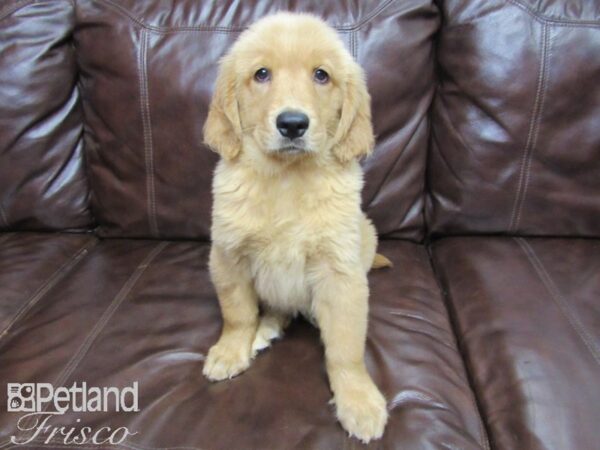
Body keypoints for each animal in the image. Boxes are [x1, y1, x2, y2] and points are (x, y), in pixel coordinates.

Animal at [202, 11, 390, 442]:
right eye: (261, 74)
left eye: (321, 75)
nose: (292, 124)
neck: (286, 178)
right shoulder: (227, 256)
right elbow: (237, 313)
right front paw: (231, 350)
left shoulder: (342, 274)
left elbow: (346, 348)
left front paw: (358, 400)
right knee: (275, 309)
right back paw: (265, 329)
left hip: (366, 235)